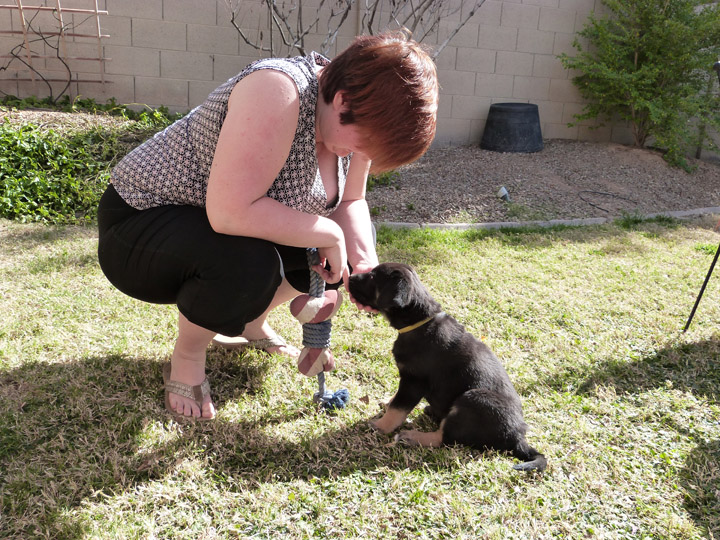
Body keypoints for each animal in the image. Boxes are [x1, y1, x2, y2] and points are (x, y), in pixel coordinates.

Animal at [348, 262, 544, 472]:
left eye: (373, 277)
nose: (348, 278)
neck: (418, 323)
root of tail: (517, 438)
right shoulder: (408, 381)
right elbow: (396, 401)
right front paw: (387, 402)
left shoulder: (413, 381)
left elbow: (398, 408)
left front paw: (381, 425)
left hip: (473, 399)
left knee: (444, 438)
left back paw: (410, 437)